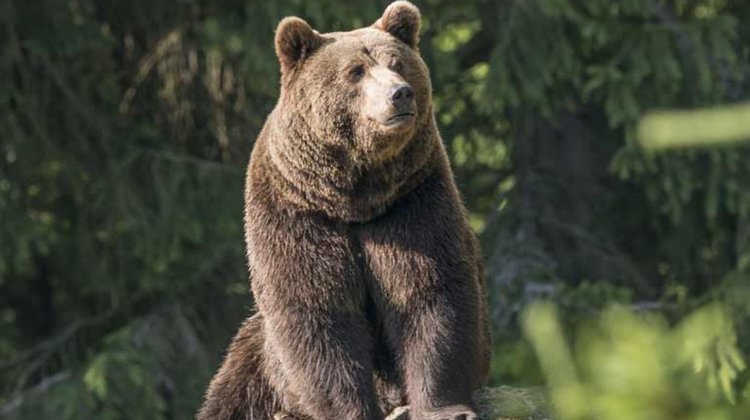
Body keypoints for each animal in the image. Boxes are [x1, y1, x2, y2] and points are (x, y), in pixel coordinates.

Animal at [197, 2, 491, 419]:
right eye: (355, 71)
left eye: (398, 63)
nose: (400, 94)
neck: (355, 198)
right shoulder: (297, 213)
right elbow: (318, 309)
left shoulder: (411, 203)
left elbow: (429, 291)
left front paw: (445, 407)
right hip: (258, 359)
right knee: (235, 389)